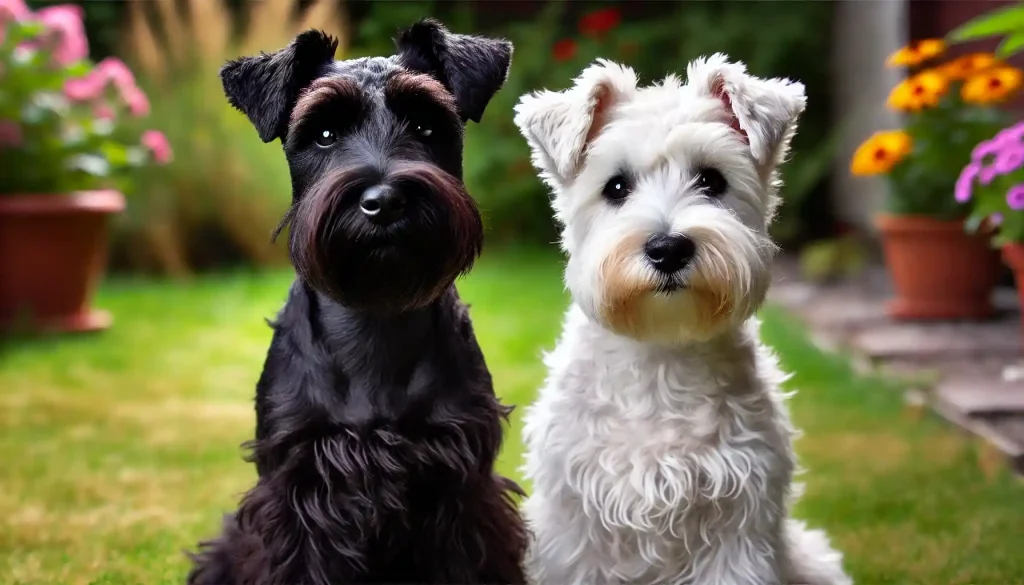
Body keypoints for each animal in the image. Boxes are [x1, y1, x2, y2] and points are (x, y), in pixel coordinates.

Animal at [185, 18, 528, 585]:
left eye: (426, 126)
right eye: (324, 133)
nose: (384, 201)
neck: (376, 315)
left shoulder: (463, 488)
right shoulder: (297, 486)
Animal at [512, 56, 856, 585]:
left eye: (712, 180)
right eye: (615, 186)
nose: (668, 248)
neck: (661, 357)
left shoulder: (738, 530)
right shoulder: (576, 536)